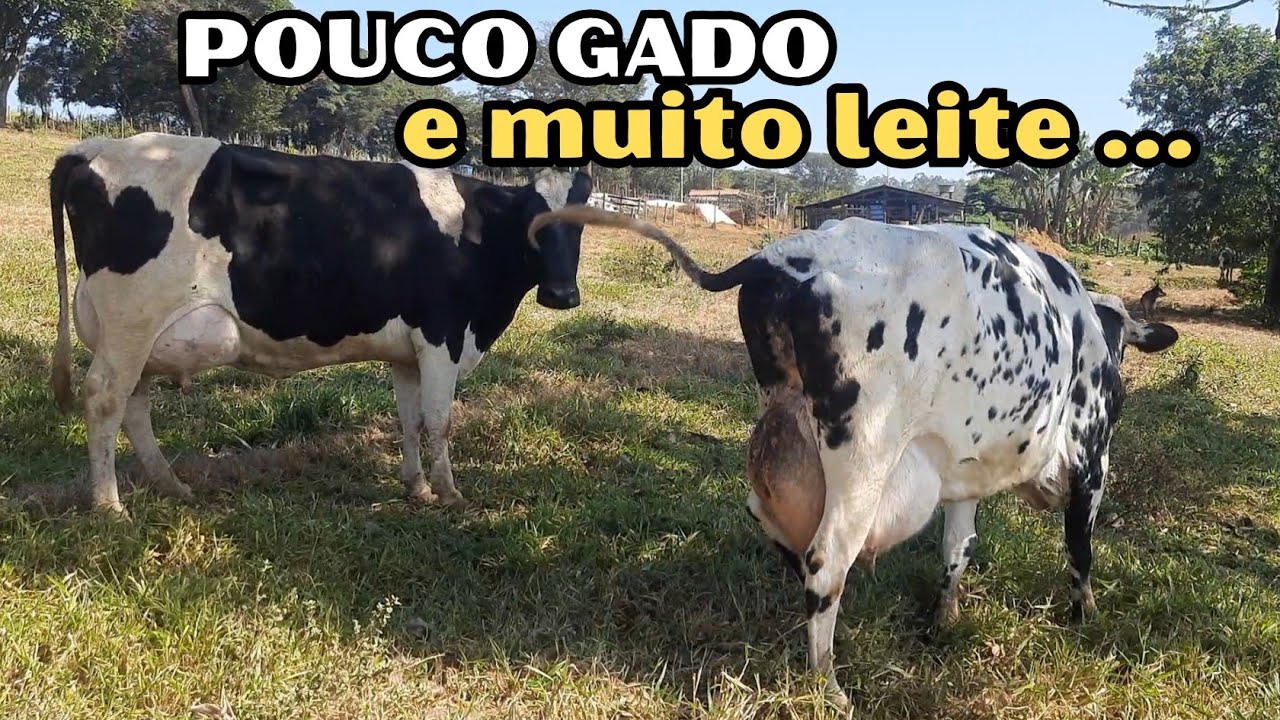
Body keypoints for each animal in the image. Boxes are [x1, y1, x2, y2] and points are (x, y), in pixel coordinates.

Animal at [49, 132, 593, 516]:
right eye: (532, 220)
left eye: (583, 221)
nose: (561, 295)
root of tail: (90, 148)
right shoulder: (444, 335)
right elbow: (440, 420)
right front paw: (449, 494)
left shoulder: (408, 350)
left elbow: (411, 420)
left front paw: (416, 488)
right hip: (132, 322)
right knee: (106, 398)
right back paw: (109, 506)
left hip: (138, 333)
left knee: (134, 404)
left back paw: (170, 483)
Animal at [527, 206, 1179, 706]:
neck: (1089, 328)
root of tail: (786, 254)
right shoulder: (1092, 458)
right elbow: (1080, 549)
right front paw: (1084, 616)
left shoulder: (961, 474)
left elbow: (957, 549)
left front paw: (943, 619)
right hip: (864, 451)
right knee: (826, 561)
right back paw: (829, 685)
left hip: (789, 422)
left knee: (772, 520)